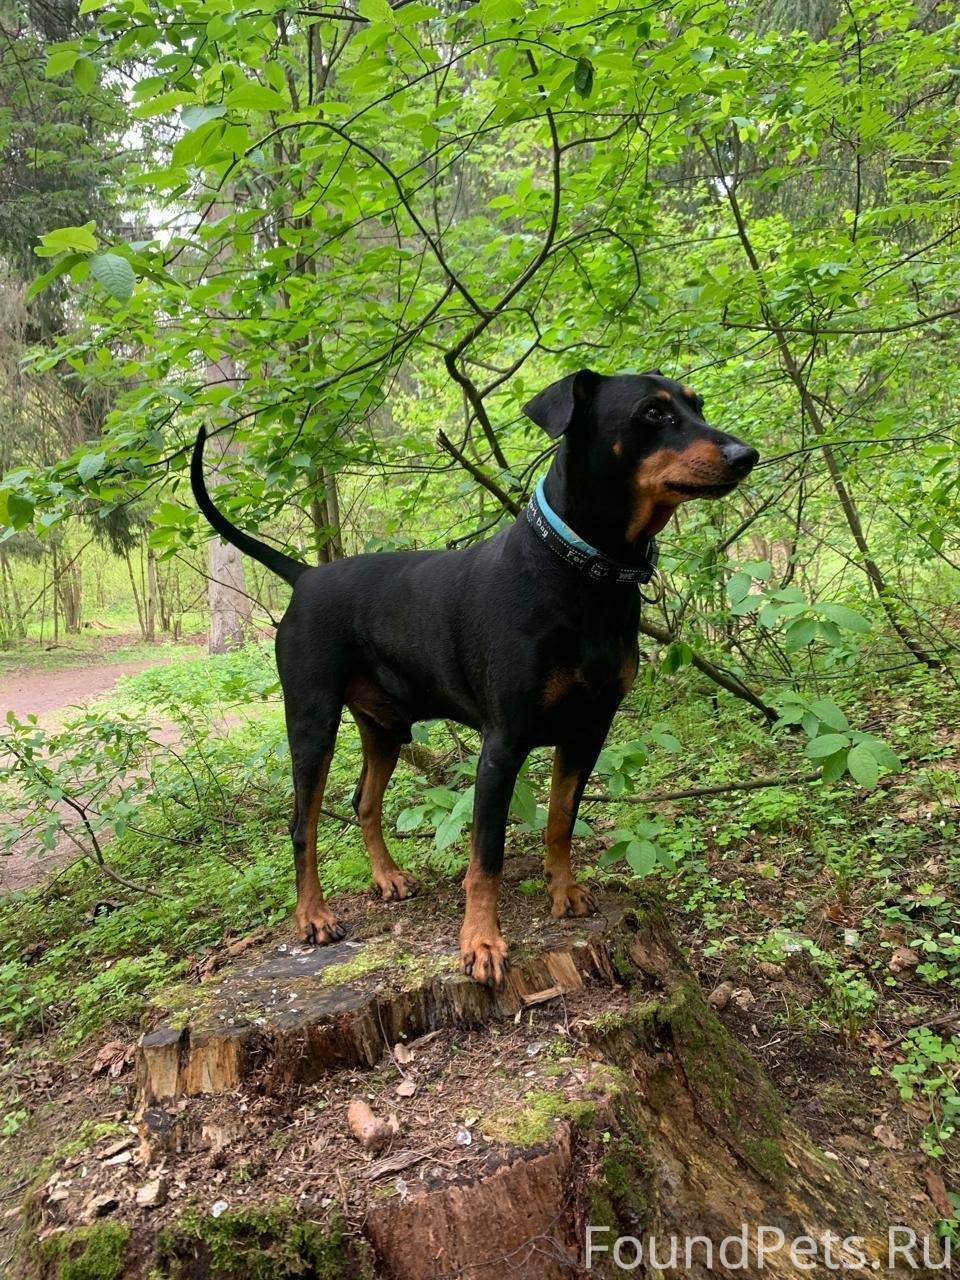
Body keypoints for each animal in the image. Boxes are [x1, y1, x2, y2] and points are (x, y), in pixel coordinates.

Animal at [189, 371, 757, 988]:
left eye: (696, 405)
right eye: (652, 413)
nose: (745, 455)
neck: (584, 571)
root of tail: (305, 576)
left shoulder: (589, 731)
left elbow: (560, 820)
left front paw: (565, 893)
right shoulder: (502, 744)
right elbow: (486, 855)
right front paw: (480, 943)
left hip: (384, 728)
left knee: (364, 801)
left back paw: (387, 877)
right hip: (312, 719)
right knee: (302, 824)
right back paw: (314, 916)